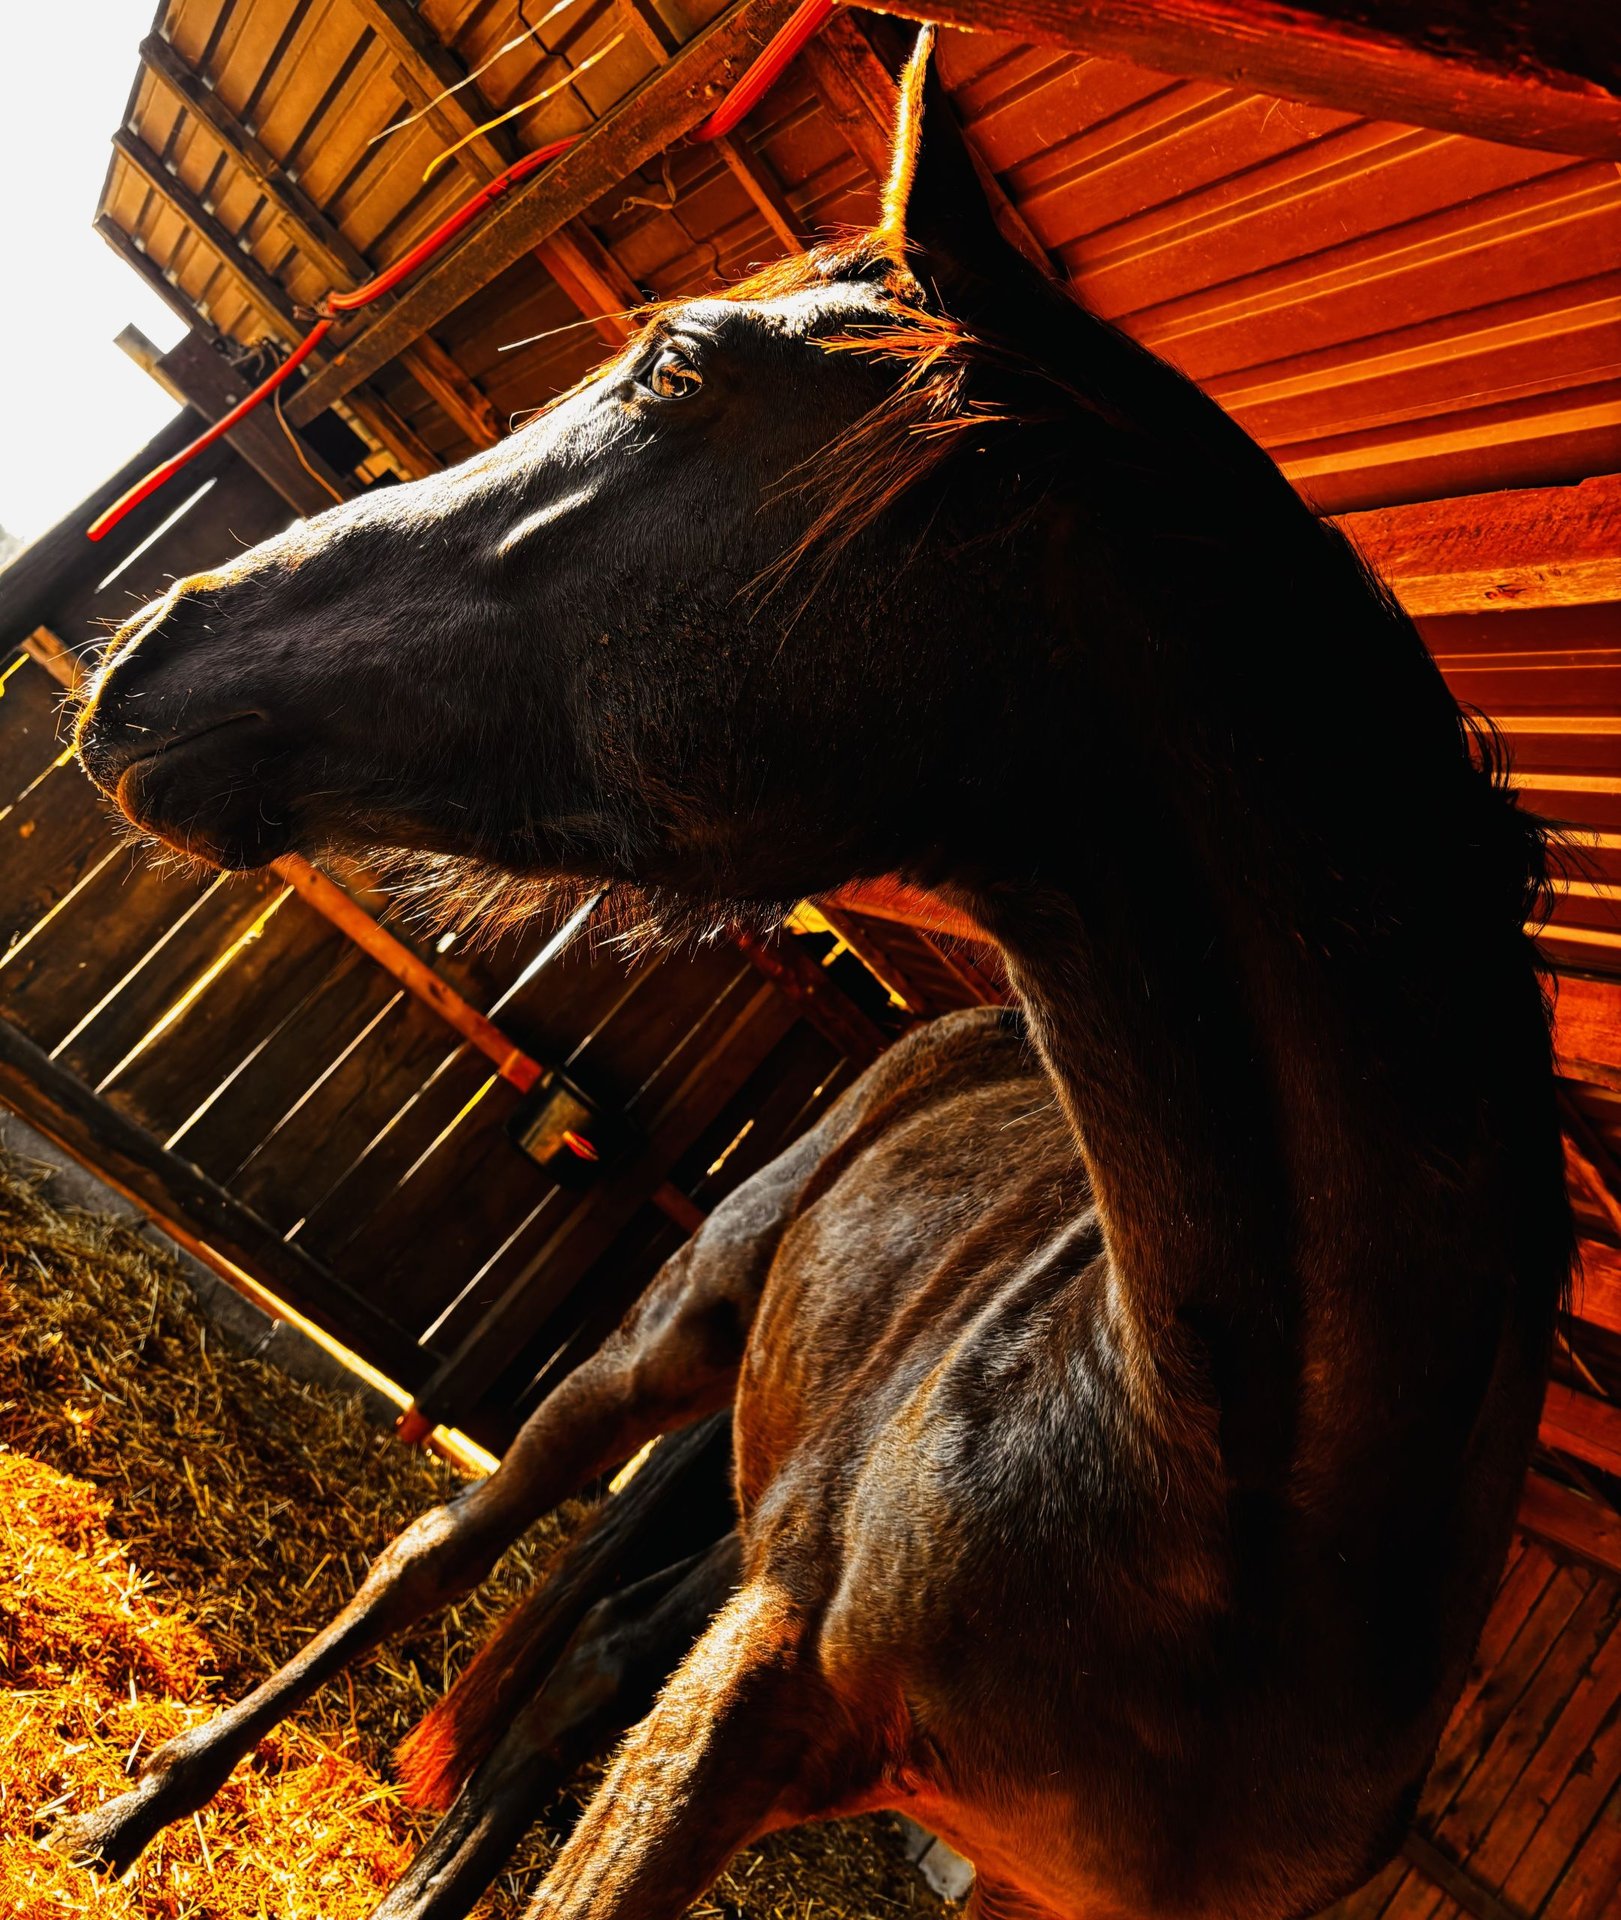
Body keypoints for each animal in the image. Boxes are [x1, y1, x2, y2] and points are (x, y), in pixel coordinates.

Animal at [64, 30, 1569, 1920]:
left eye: (682, 367)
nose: (157, 644)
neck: (1249, 1501)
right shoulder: (758, 1686)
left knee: (584, 1651)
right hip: (663, 1351)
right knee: (441, 1556)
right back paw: (136, 1810)